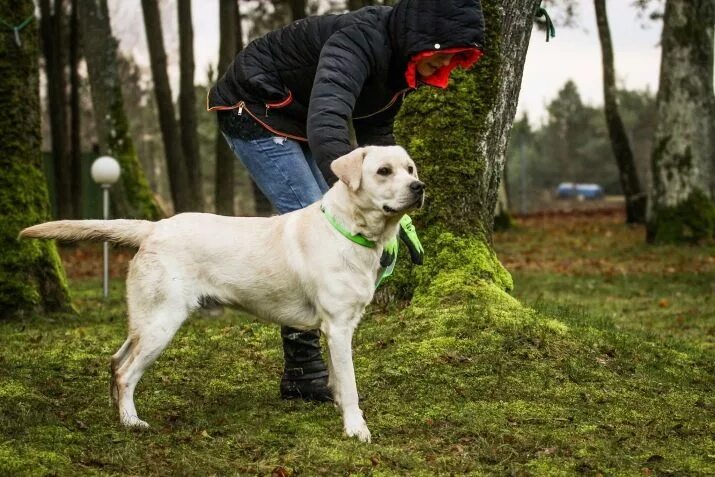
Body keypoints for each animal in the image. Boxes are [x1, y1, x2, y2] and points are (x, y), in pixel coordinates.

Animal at [22, 143, 426, 440]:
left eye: (410, 169)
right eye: (383, 171)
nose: (419, 188)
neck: (349, 229)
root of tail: (153, 227)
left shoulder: (339, 327)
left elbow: (340, 381)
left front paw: (341, 408)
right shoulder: (339, 327)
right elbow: (351, 383)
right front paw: (356, 428)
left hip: (145, 319)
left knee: (115, 360)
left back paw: (118, 412)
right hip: (161, 323)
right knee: (126, 372)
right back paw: (131, 422)